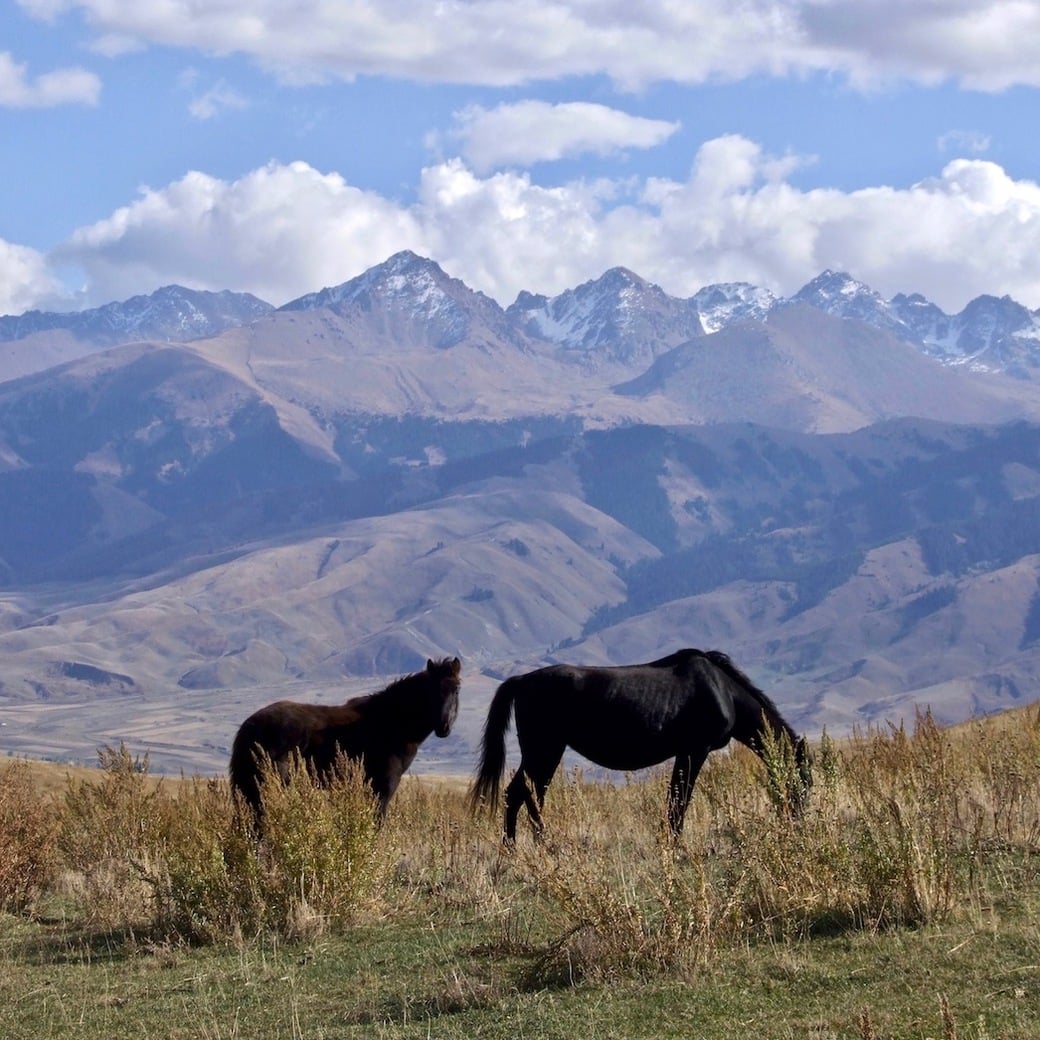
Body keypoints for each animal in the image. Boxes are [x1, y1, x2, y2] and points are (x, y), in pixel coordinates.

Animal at [230, 656, 461, 827]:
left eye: (457, 689)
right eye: (431, 690)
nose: (444, 727)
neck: (391, 721)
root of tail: (249, 725)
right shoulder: (383, 788)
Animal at [469, 648, 811, 841]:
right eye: (804, 779)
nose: (800, 822)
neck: (723, 691)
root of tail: (521, 680)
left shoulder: (686, 752)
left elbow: (675, 798)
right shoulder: (694, 750)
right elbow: (680, 799)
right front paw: (673, 844)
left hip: (543, 752)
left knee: (525, 794)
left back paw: (517, 848)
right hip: (544, 750)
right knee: (525, 794)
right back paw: (538, 846)